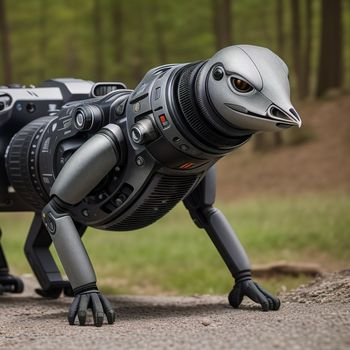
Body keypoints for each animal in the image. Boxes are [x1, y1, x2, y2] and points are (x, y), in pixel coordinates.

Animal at [0, 45, 300, 326]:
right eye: (240, 83)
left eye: (284, 78)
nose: (288, 115)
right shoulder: (110, 138)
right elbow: (55, 209)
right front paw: (88, 295)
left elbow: (207, 213)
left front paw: (248, 284)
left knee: (36, 242)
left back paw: (48, 286)